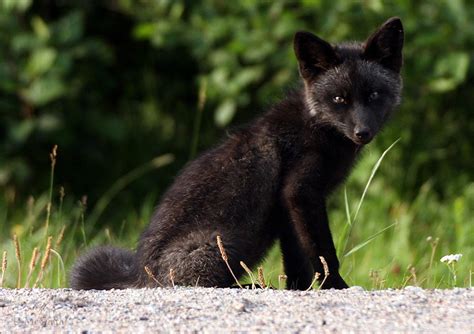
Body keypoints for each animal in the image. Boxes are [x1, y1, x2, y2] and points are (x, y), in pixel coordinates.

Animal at [71, 17, 404, 290]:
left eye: (374, 95)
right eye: (339, 99)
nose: (362, 132)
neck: (316, 126)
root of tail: (139, 275)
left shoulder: (288, 208)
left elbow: (297, 260)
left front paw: (299, 289)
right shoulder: (300, 193)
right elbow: (323, 252)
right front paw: (336, 286)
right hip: (224, 245)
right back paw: (251, 286)